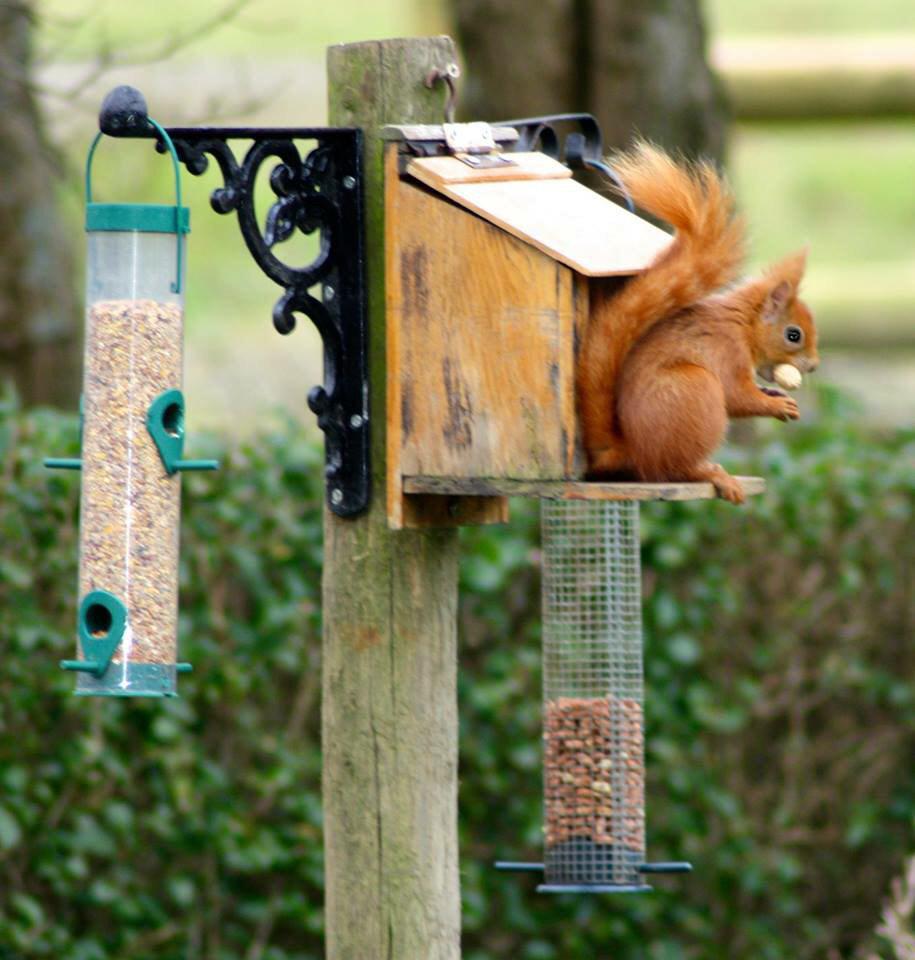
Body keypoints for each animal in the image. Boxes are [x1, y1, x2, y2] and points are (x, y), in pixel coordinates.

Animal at [577, 141, 819, 504]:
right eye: (794, 335)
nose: (814, 365)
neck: (743, 326)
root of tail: (633, 450)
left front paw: (773, 393)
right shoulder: (727, 350)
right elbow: (737, 396)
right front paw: (775, 405)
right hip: (694, 390)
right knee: (675, 470)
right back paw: (712, 474)